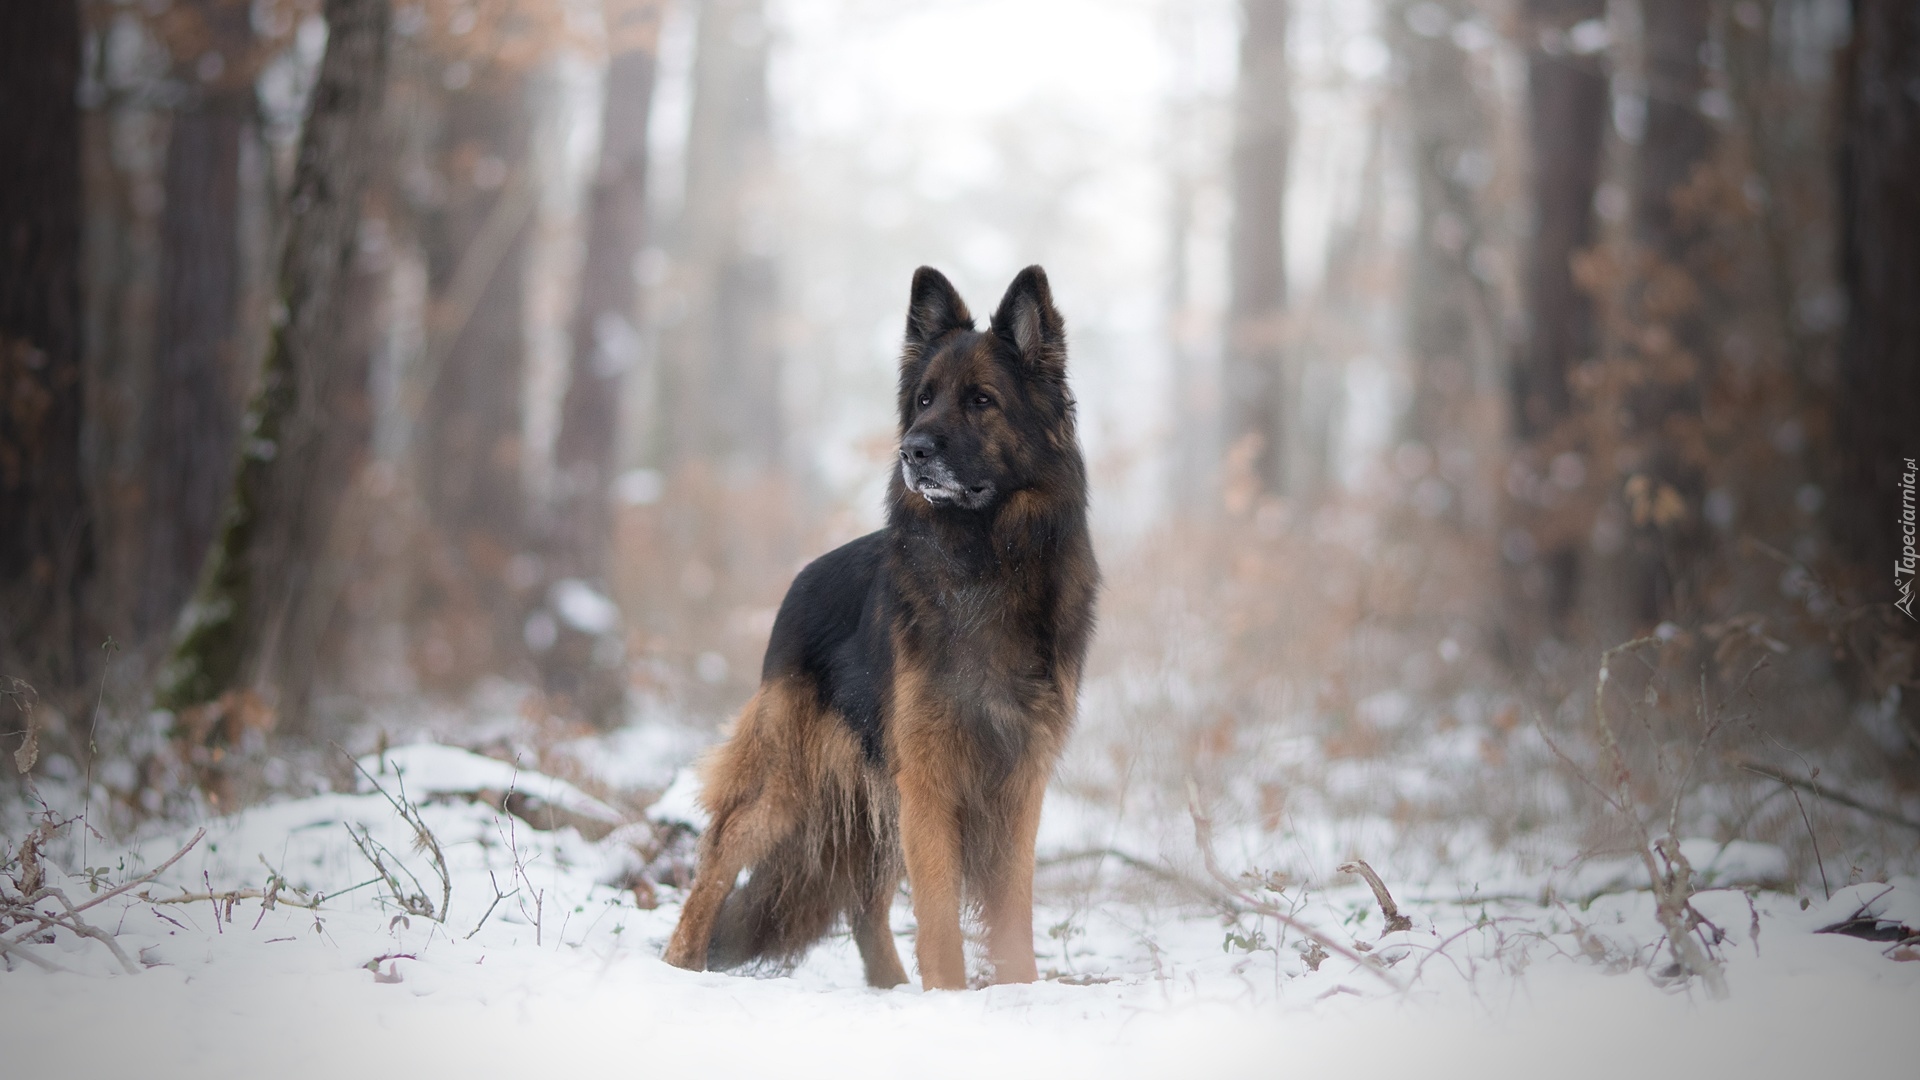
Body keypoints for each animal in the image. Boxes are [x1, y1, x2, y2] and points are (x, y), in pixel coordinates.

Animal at [664, 263, 1098, 983]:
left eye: (981, 400)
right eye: (923, 400)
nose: (912, 451)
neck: (982, 562)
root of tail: (800, 581)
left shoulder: (1017, 778)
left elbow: (1013, 914)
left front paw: (1019, 990)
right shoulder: (928, 775)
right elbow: (941, 920)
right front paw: (950, 994)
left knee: (864, 904)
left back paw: (890, 988)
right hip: (791, 780)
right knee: (720, 854)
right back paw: (679, 963)